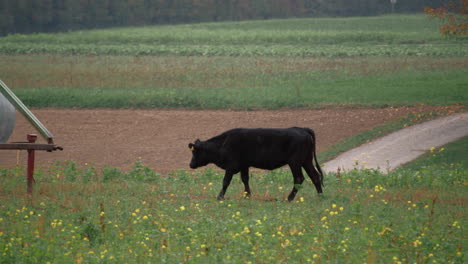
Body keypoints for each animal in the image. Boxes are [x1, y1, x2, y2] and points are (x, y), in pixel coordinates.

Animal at [188, 127, 324, 201]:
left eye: (195, 152)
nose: (190, 164)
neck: (222, 144)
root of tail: (301, 129)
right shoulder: (244, 165)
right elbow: (245, 179)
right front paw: (247, 196)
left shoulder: (231, 166)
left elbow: (225, 181)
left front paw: (220, 197)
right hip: (306, 161)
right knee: (315, 176)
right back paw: (320, 196)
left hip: (295, 162)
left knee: (299, 179)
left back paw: (289, 198)